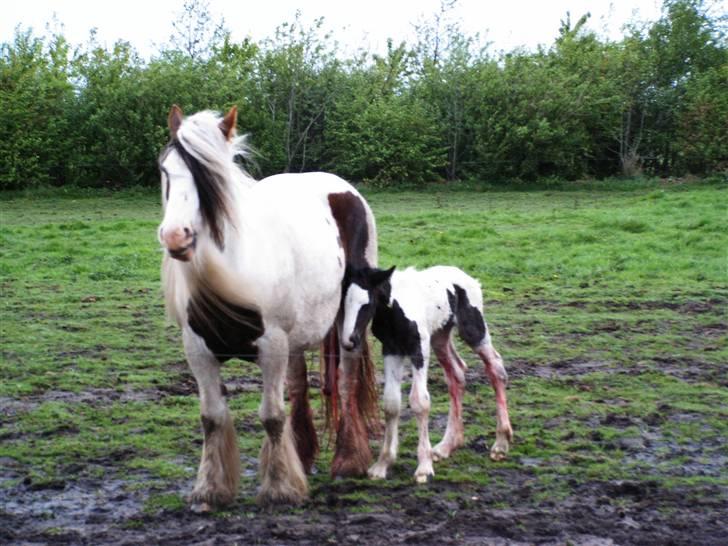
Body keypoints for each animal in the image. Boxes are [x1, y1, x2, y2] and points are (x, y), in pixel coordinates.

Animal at [159, 106, 382, 506]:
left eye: (211, 177)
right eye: (166, 171)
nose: (175, 236)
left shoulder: (272, 345)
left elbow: (272, 415)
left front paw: (280, 487)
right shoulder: (198, 350)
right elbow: (211, 417)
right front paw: (210, 487)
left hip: (349, 318)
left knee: (346, 381)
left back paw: (348, 458)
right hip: (295, 339)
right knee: (298, 385)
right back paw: (303, 454)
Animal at [340, 264, 512, 480]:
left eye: (367, 302)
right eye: (343, 302)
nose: (349, 341)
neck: (396, 308)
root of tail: (469, 278)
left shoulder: (419, 348)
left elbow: (420, 402)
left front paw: (423, 467)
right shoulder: (391, 349)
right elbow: (391, 403)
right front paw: (382, 464)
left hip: (473, 330)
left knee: (496, 368)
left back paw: (501, 444)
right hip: (440, 337)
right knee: (457, 374)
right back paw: (447, 446)